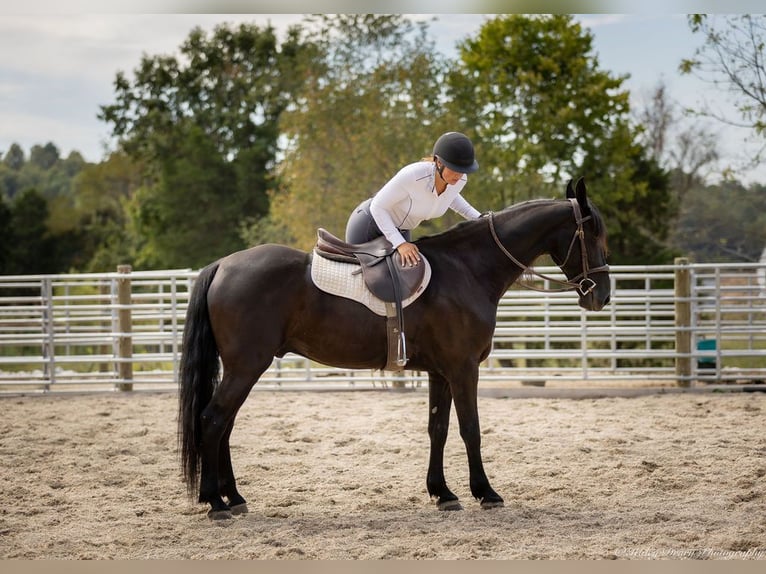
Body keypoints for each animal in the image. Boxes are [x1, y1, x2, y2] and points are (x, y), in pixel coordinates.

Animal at [178, 179, 612, 520]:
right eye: (593, 234)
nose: (602, 297)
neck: (467, 269)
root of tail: (223, 265)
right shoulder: (463, 369)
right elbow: (470, 429)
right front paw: (485, 493)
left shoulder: (441, 372)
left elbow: (438, 429)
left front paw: (443, 493)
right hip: (246, 367)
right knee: (214, 420)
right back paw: (215, 503)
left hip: (243, 368)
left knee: (225, 424)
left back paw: (233, 498)